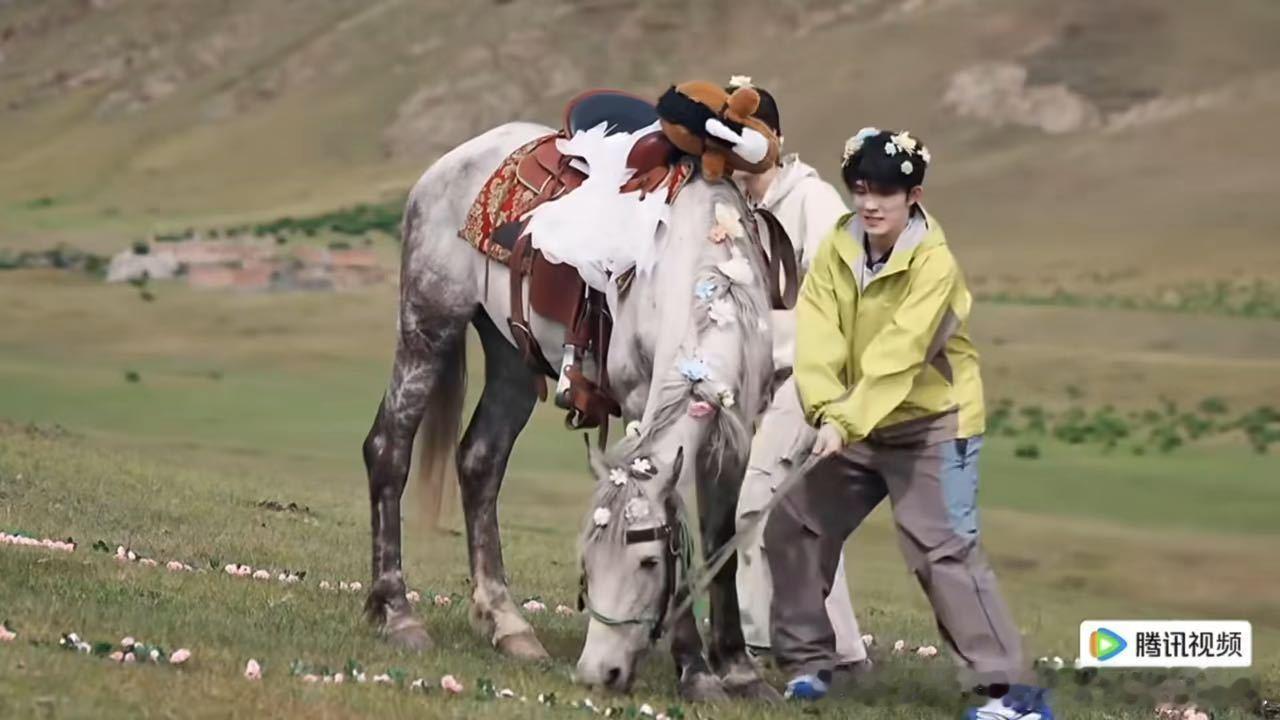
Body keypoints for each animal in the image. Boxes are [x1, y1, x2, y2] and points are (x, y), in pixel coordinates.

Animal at [361, 119, 778, 700]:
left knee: (480, 463)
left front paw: (738, 670)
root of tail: (448, 165)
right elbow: (677, 514)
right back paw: (398, 613)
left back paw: (509, 624)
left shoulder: (734, 426)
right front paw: (696, 671)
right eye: (588, 564)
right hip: (429, 323)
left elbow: (721, 538)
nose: (597, 673)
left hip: (512, 355)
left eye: (648, 561)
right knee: (389, 448)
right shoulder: (640, 401)